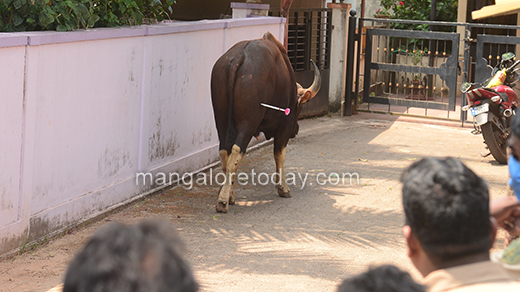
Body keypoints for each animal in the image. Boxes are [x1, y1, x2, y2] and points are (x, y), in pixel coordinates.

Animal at [209, 32, 318, 213]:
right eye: (300, 106)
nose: (296, 129)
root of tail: (239, 57)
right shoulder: (284, 127)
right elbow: (279, 155)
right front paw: (283, 188)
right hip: (248, 123)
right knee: (237, 151)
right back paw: (223, 201)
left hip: (221, 119)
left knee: (225, 153)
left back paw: (228, 195)